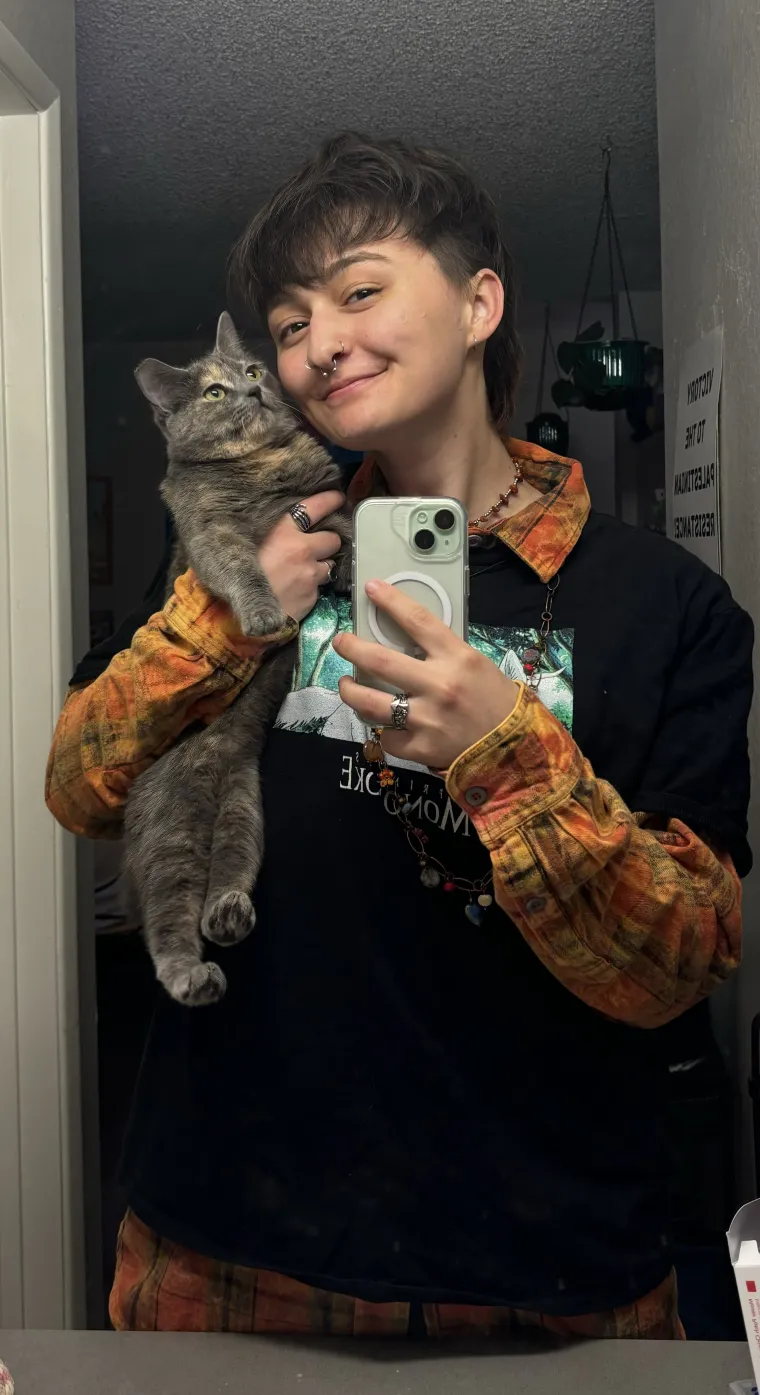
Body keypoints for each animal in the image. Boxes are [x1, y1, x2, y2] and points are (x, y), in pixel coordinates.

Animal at [124, 309, 350, 1004]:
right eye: (214, 392)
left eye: (252, 369)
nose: (251, 389)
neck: (261, 467)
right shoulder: (210, 532)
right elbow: (243, 566)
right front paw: (264, 615)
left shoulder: (328, 504)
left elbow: (351, 530)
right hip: (166, 827)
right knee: (167, 915)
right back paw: (190, 975)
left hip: (246, 809)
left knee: (227, 867)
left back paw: (227, 914)